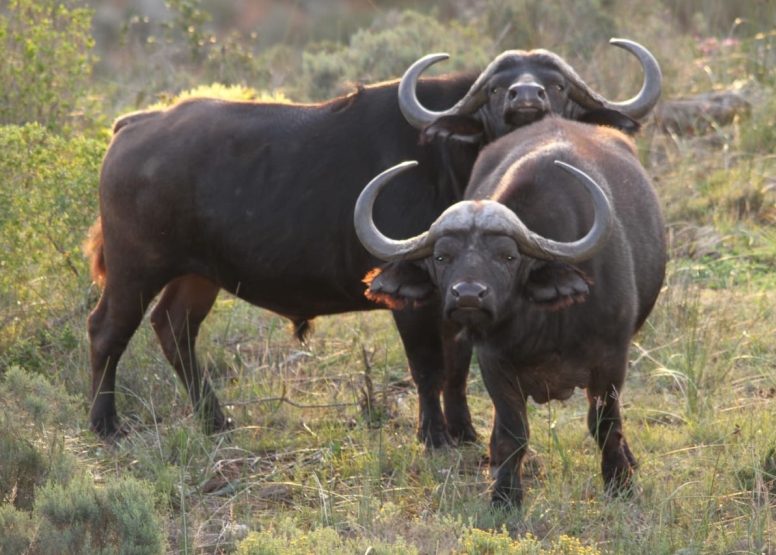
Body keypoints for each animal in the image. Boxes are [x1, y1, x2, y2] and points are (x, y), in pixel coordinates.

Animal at [86, 40, 660, 448]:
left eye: (556, 86)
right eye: (498, 88)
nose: (527, 98)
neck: (449, 160)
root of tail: (135, 124)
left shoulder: (463, 299)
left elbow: (457, 367)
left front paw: (464, 432)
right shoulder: (415, 298)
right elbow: (428, 368)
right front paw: (434, 437)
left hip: (196, 275)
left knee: (173, 329)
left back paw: (215, 421)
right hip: (135, 267)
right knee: (106, 330)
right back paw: (105, 424)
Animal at [354, 117, 664, 508]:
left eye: (509, 255)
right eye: (441, 256)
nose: (468, 295)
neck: (544, 324)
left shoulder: (612, 358)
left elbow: (605, 424)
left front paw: (619, 482)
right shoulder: (494, 362)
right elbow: (513, 431)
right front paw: (504, 494)